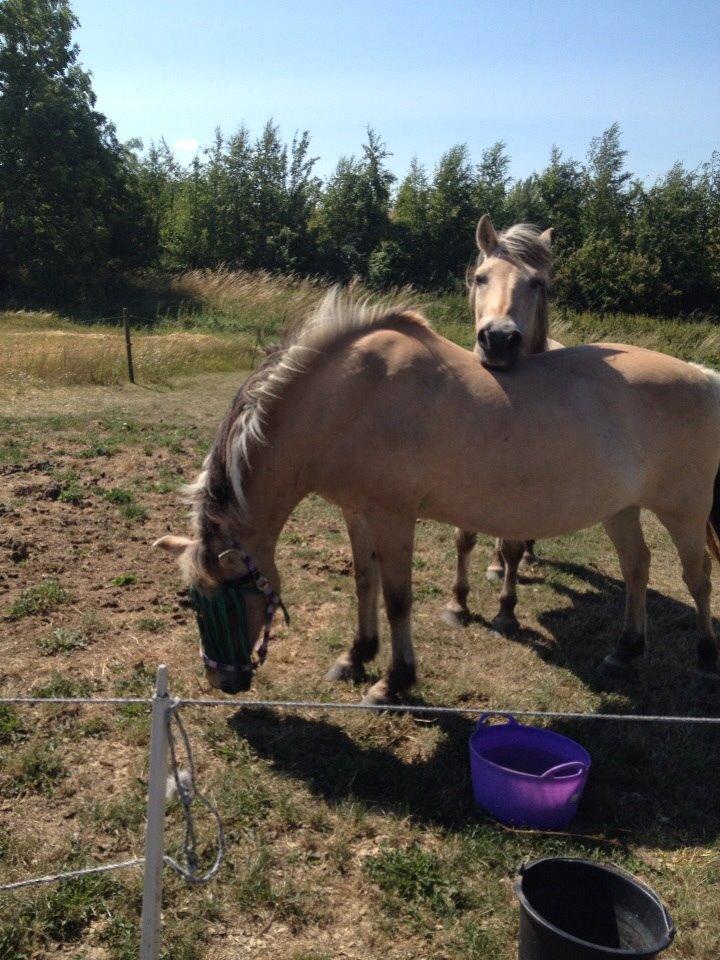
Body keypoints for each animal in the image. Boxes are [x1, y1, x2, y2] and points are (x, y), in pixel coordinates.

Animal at [156, 292, 720, 704]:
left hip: (685, 512)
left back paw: (704, 660)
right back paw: (625, 651)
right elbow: (364, 583)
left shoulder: (393, 518)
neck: (349, 398)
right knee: (637, 566)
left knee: (697, 578)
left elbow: (397, 598)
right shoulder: (356, 513)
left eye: (231, 598)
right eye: (193, 599)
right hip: (620, 508)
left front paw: (394, 681)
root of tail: (703, 375)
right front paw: (356, 656)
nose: (223, 681)